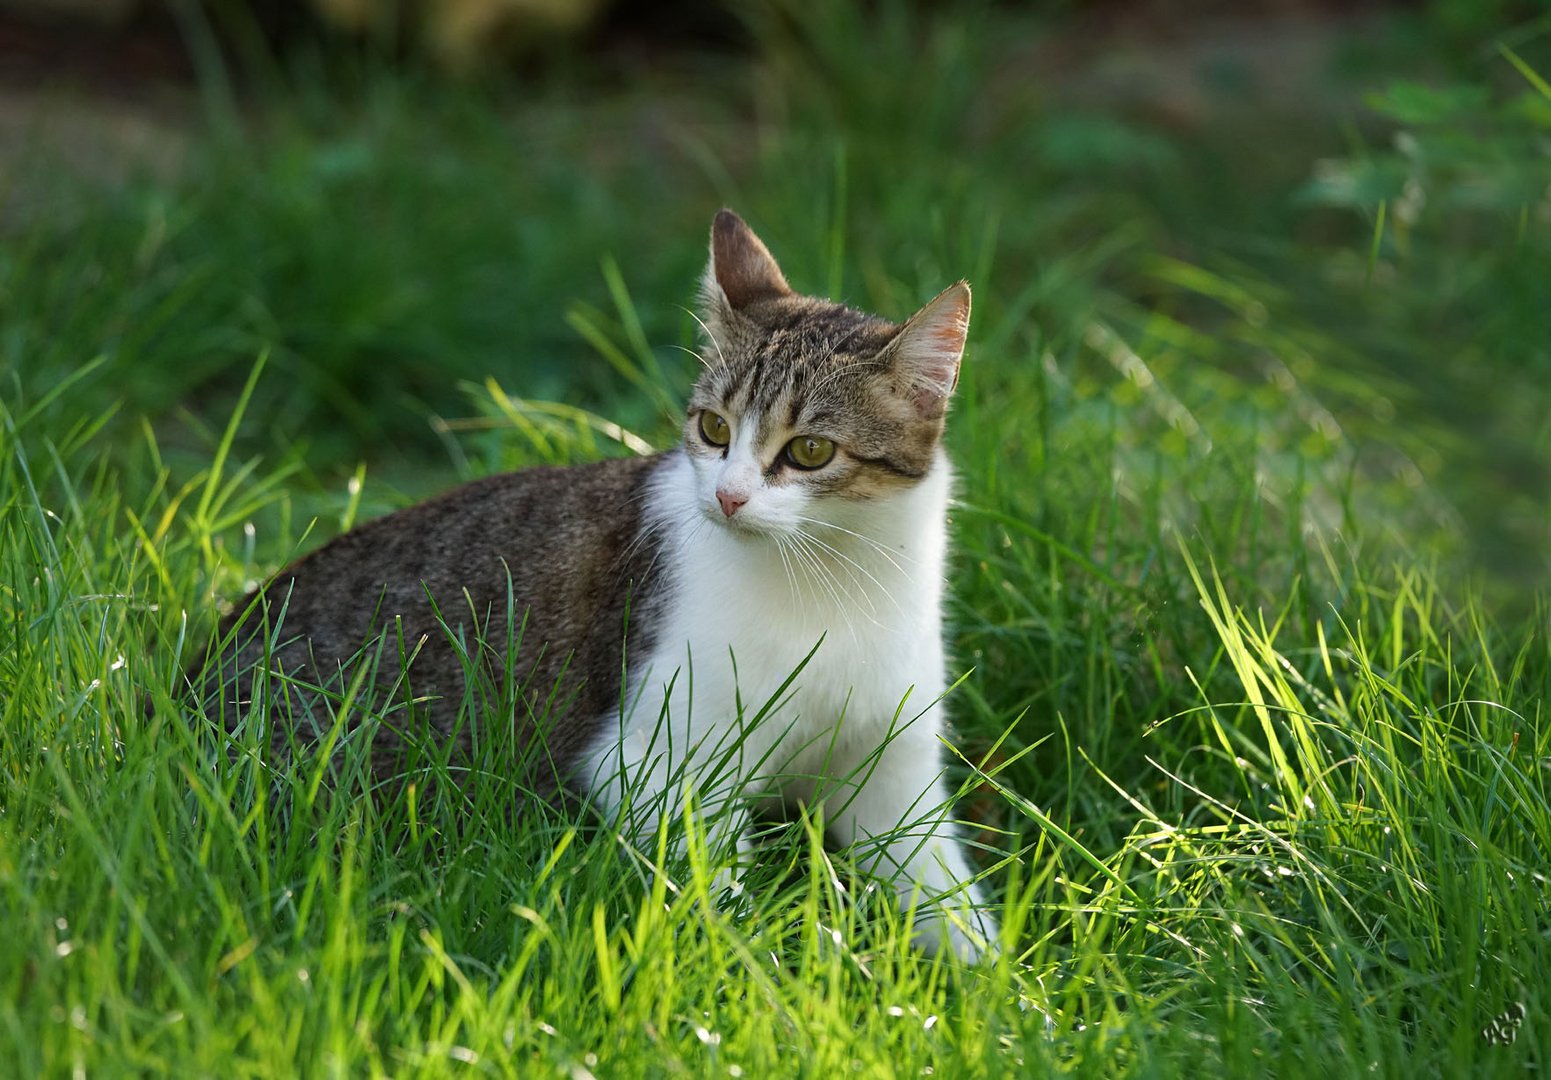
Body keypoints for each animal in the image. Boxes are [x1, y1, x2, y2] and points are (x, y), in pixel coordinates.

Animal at [193, 211, 998, 962]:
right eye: (713, 429)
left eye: (808, 451)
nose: (728, 496)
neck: (831, 583)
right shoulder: (653, 761)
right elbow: (720, 903)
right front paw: (763, 971)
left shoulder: (892, 770)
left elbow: (944, 892)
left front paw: (997, 990)